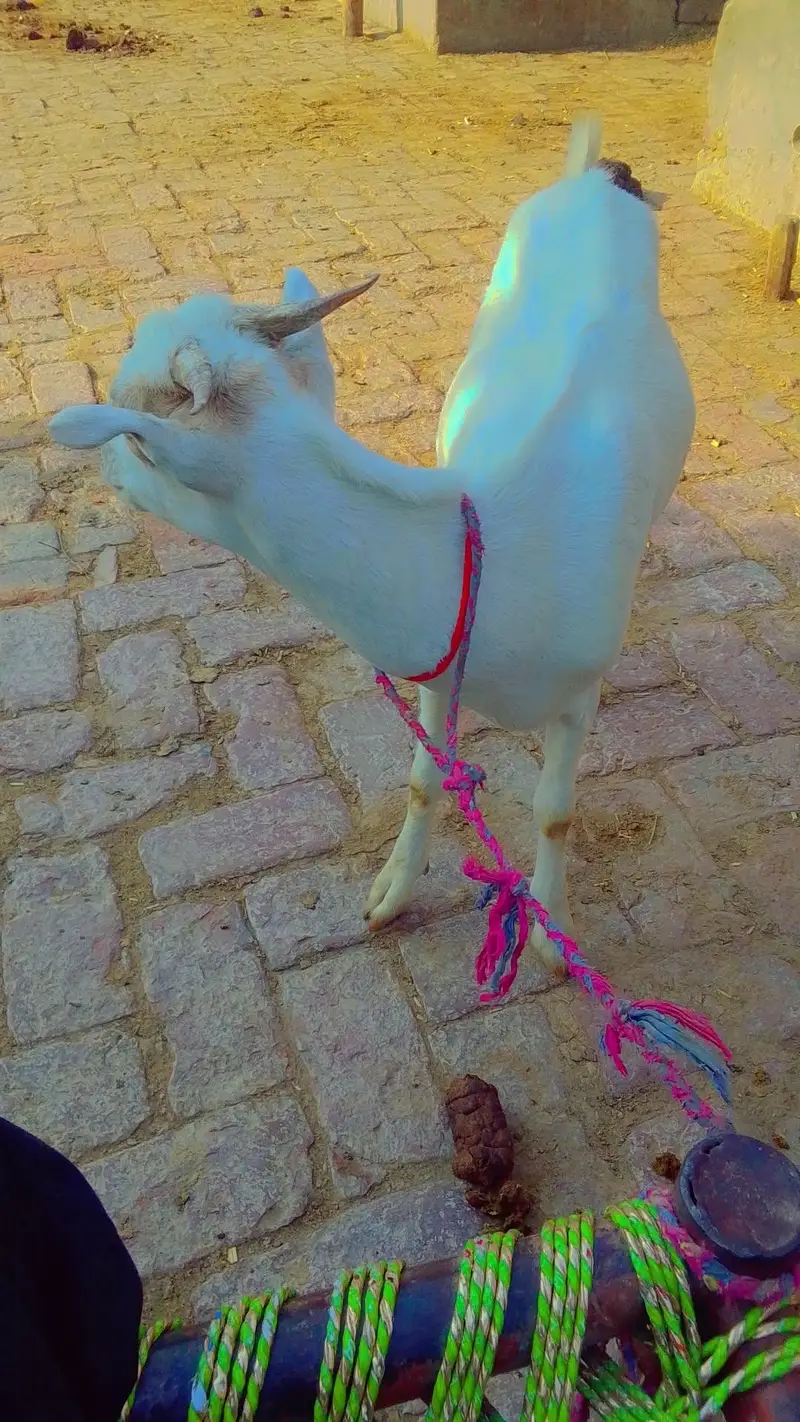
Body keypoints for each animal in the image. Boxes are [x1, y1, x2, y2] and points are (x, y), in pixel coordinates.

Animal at [49, 116, 695, 972]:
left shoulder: (573, 692)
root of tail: (599, 177)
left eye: (140, 439)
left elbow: (554, 808)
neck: (489, 550)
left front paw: (554, 940)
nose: (106, 474)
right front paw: (391, 892)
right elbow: (425, 780)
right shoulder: (439, 664)